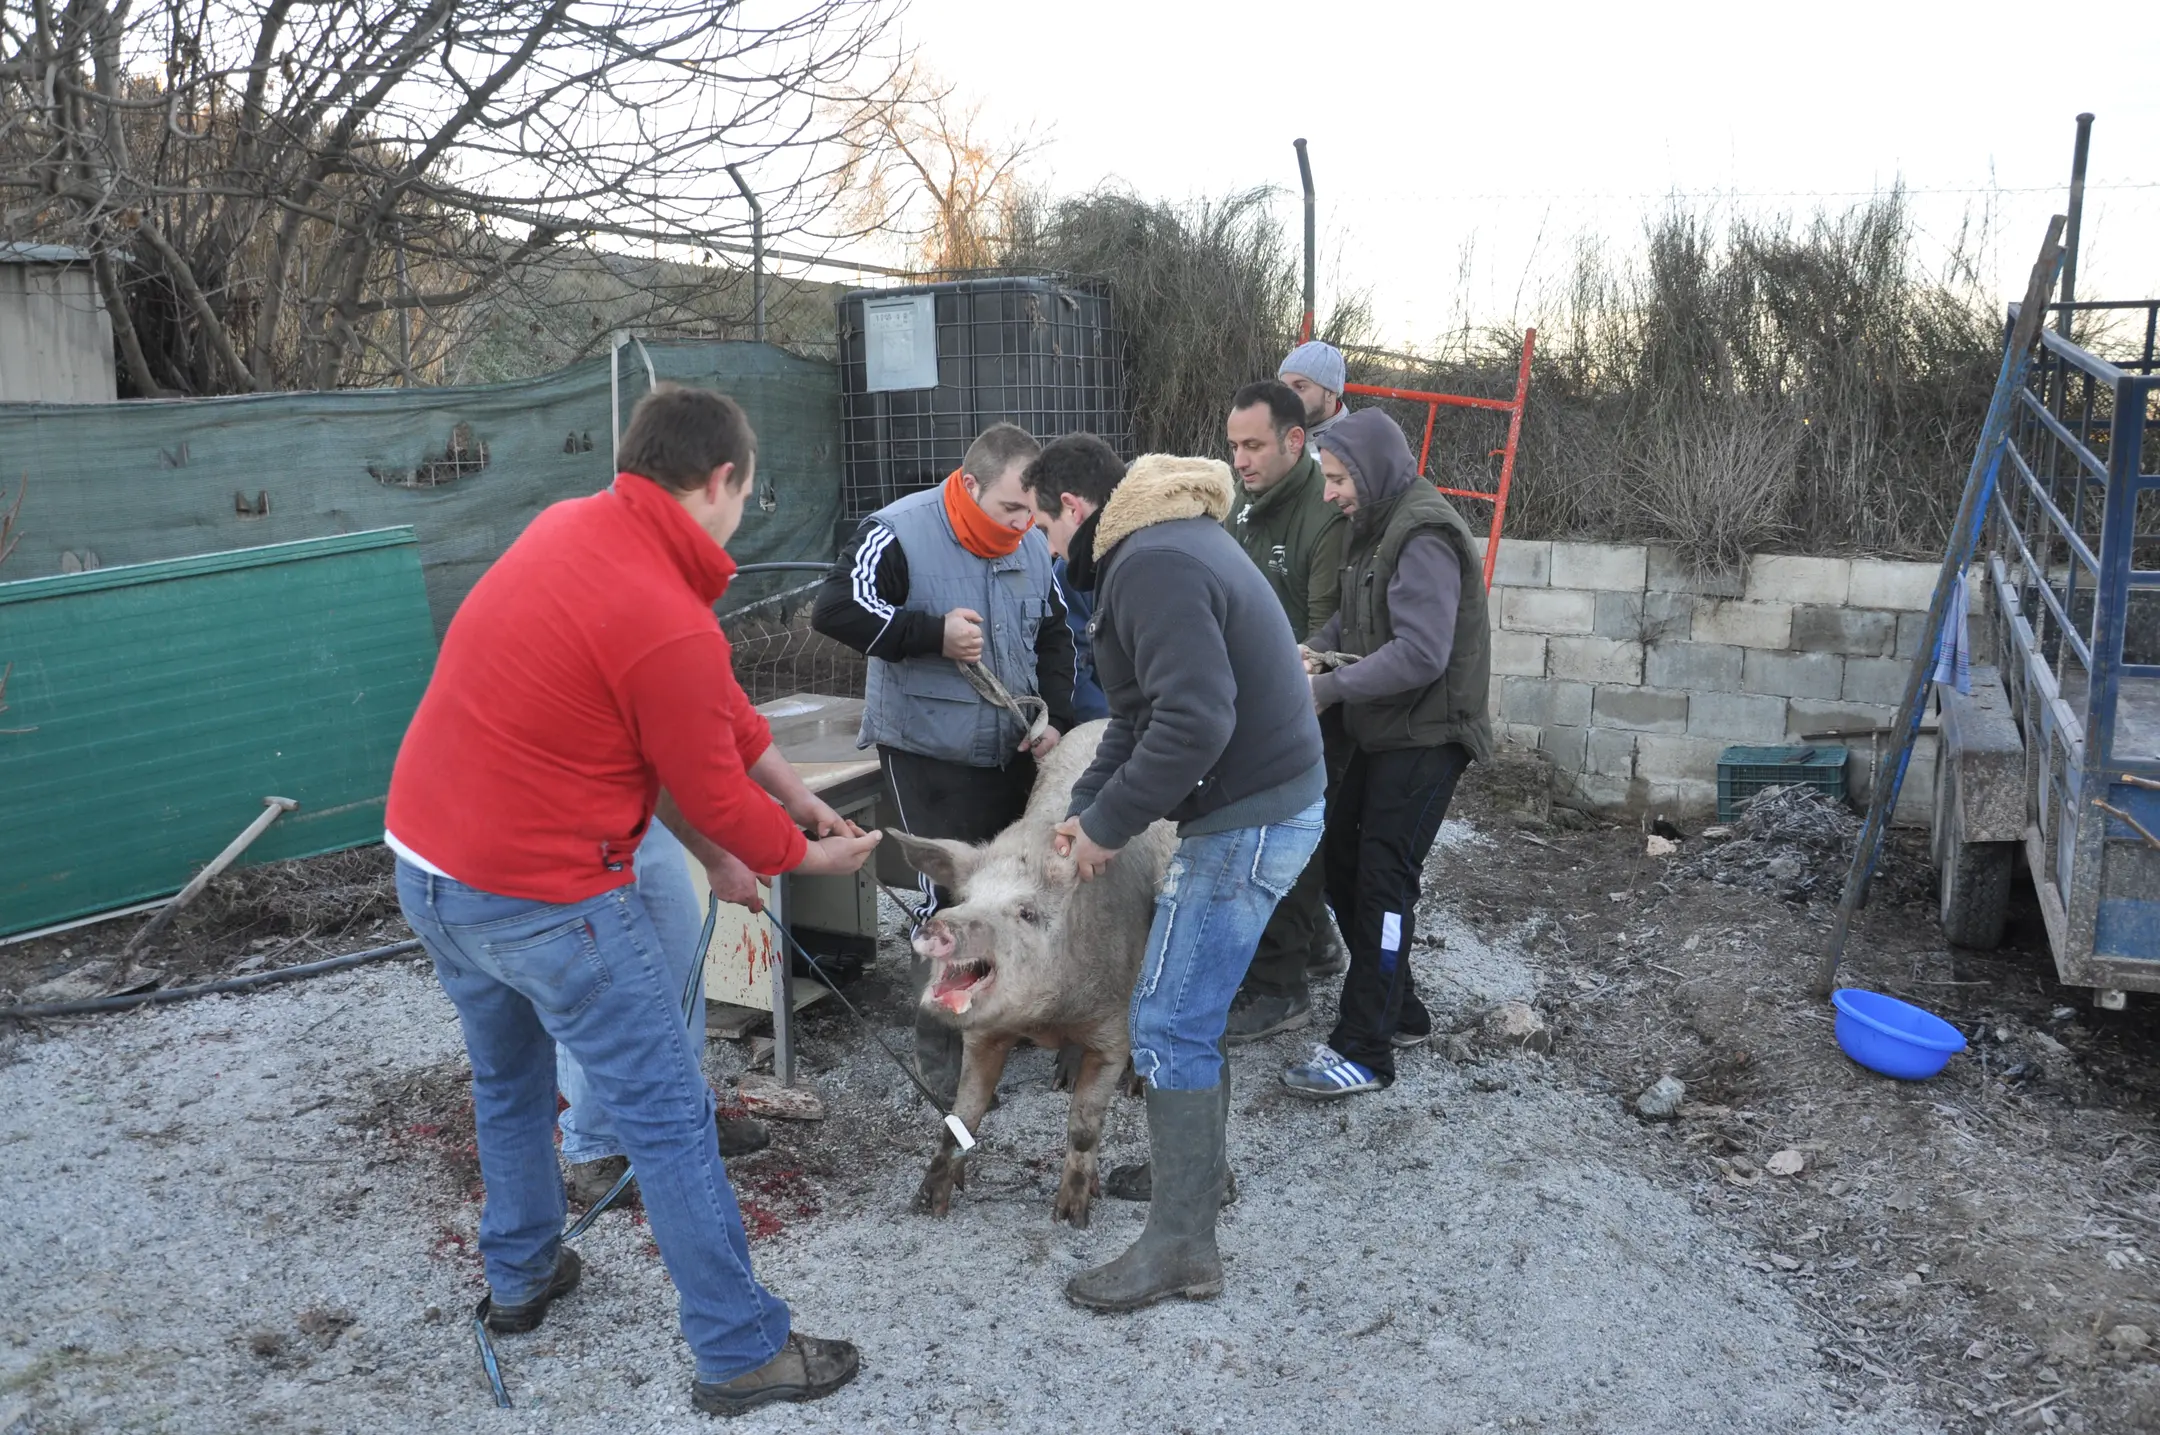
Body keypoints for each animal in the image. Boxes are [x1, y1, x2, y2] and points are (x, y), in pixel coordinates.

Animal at [881, 721, 1175, 1227]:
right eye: (966, 897)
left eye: (1026, 912)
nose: (939, 925)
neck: (1044, 1019)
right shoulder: (983, 1034)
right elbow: (963, 1112)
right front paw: (927, 1204)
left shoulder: (1112, 1031)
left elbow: (1084, 1125)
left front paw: (1071, 1217)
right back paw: (1061, 1079)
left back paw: (1131, 1087)